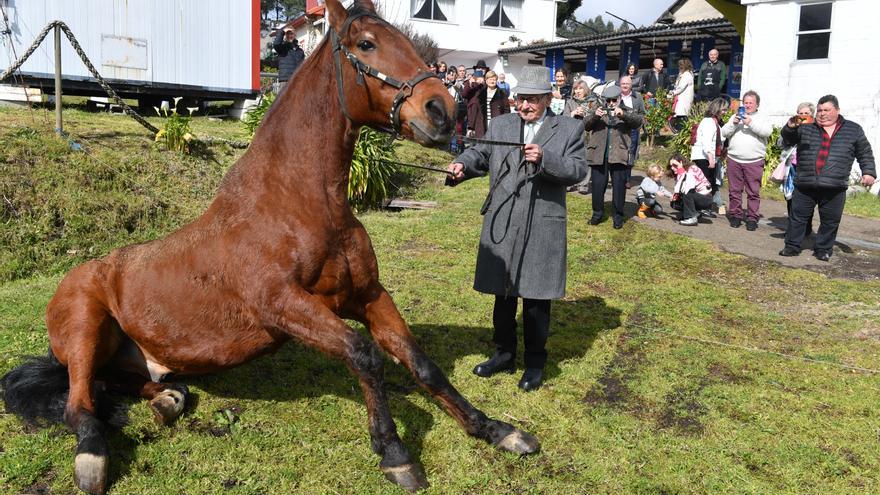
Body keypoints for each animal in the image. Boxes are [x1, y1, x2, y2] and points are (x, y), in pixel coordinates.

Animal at [0, 0, 540, 495]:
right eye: (366, 44)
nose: (442, 112)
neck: (299, 204)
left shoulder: (367, 296)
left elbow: (422, 363)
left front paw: (497, 430)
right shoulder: (283, 305)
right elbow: (364, 355)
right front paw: (394, 453)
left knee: (119, 385)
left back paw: (168, 399)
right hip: (85, 329)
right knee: (80, 404)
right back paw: (92, 457)